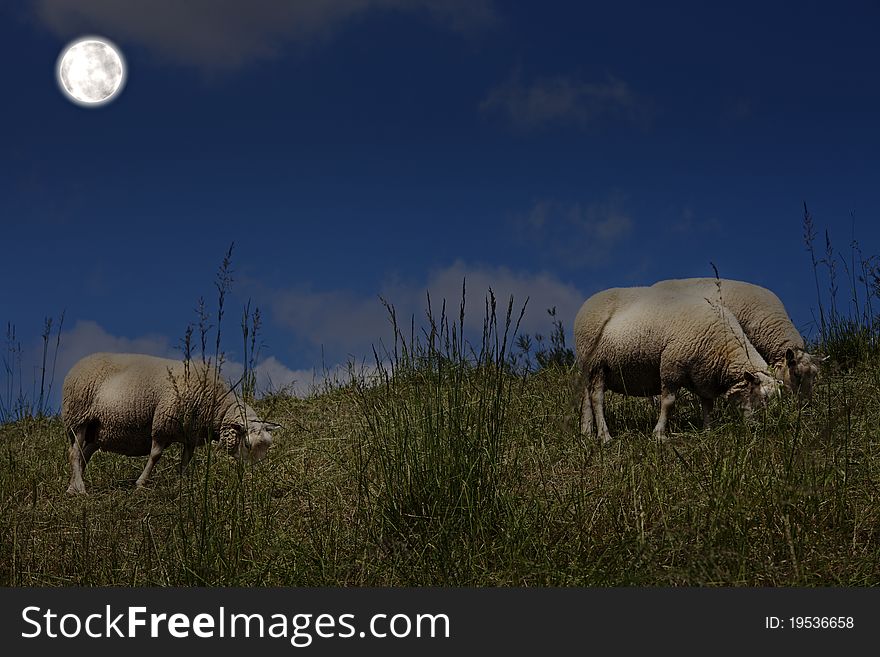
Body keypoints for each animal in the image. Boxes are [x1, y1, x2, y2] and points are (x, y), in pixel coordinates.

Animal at [61, 354, 278, 492]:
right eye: (247, 444)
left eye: (267, 447)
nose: (254, 477)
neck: (216, 405)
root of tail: (79, 364)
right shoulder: (162, 424)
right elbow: (155, 455)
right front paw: (141, 484)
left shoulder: (191, 435)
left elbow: (186, 460)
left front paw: (181, 483)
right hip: (78, 417)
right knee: (74, 453)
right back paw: (79, 488)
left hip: (98, 429)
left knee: (83, 454)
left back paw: (72, 486)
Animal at [576, 286, 780, 444]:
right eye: (761, 396)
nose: (757, 429)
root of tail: (587, 303)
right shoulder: (671, 366)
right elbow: (669, 402)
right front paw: (659, 434)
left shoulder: (704, 376)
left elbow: (707, 405)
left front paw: (708, 431)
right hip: (597, 363)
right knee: (597, 398)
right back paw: (605, 436)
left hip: (590, 368)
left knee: (586, 397)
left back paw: (586, 432)